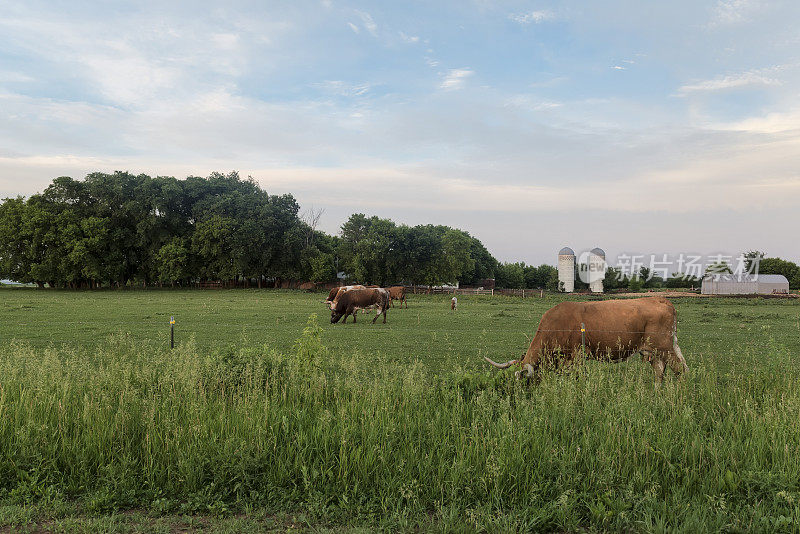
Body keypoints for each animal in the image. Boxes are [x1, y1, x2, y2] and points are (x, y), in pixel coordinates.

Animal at [484, 300, 692, 388]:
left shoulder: (577, 356)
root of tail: (660, 299)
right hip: (653, 351)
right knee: (660, 372)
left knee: (680, 370)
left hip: (664, 347)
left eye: (523, 381)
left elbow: (577, 377)